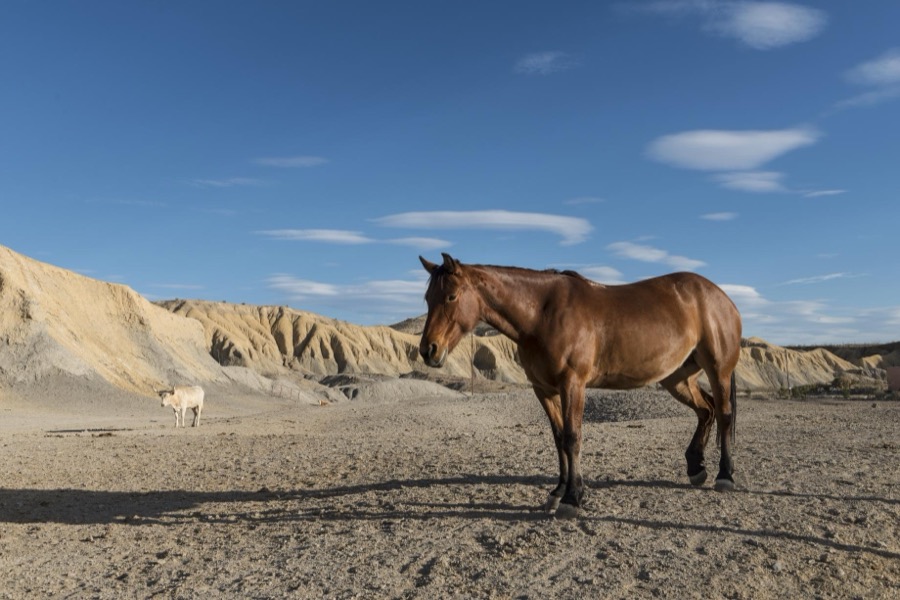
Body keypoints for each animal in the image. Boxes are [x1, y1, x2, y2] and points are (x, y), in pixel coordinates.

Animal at [418, 253, 742, 519]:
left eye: (451, 296)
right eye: (427, 298)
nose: (428, 350)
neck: (542, 314)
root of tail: (722, 299)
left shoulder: (572, 384)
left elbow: (573, 437)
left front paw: (572, 499)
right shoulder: (544, 390)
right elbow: (559, 437)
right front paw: (559, 491)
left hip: (718, 370)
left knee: (723, 414)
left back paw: (725, 476)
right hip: (677, 377)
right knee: (706, 410)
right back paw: (696, 469)